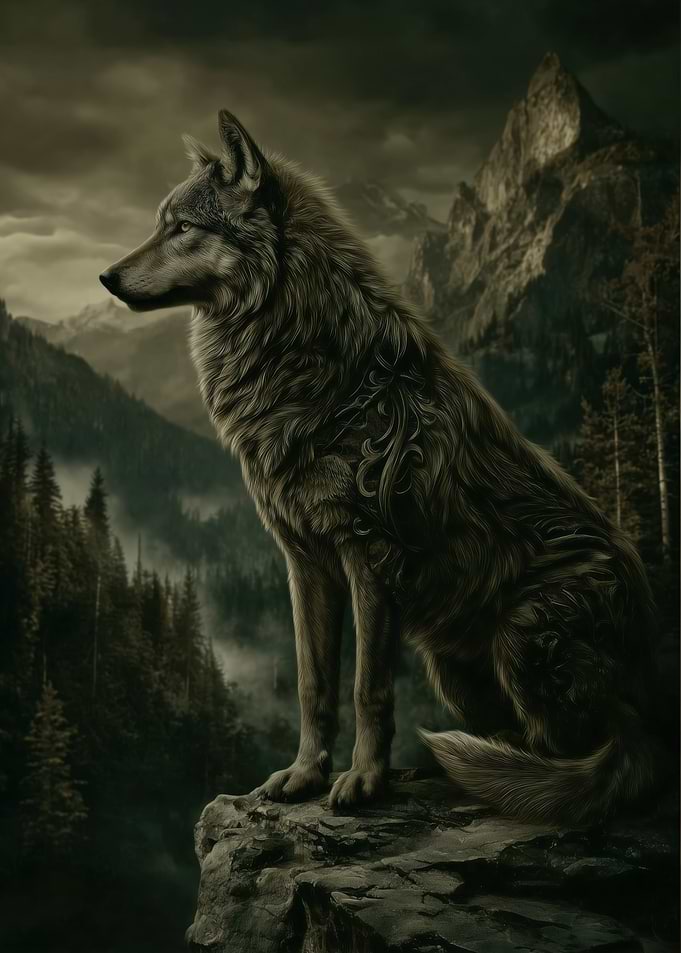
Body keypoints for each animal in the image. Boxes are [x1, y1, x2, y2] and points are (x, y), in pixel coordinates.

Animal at [100, 110, 662, 821]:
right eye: (160, 223)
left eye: (182, 228)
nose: (106, 277)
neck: (303, 361)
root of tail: (649, 695)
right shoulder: (304, 562)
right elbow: (313, 684)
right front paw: (304, 774)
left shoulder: (370, 559)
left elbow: (367, 689)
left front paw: (364, 781)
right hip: (452, 665)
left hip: (520, 636)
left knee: (569, 755)